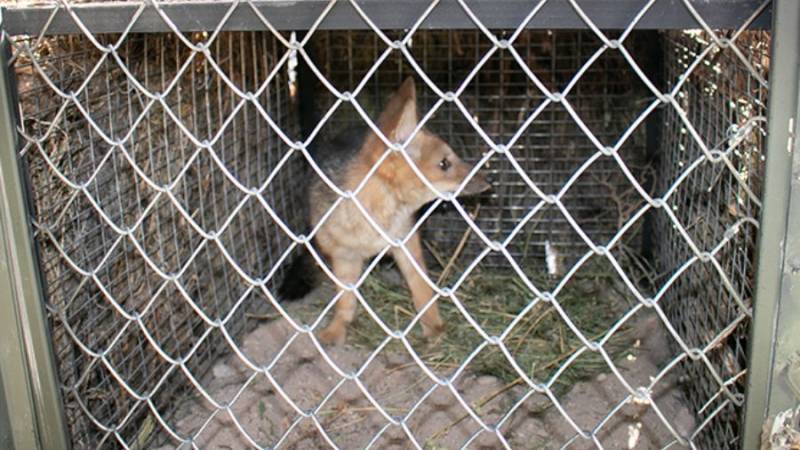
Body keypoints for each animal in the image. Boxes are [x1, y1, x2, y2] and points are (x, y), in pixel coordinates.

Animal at [282, 77, 494, 344]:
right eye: (444, 163)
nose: (489, 182)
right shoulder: (344, 257)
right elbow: (345, 301)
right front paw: (336, 329)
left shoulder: (406, 243)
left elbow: (422, 291)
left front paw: (433, 327)